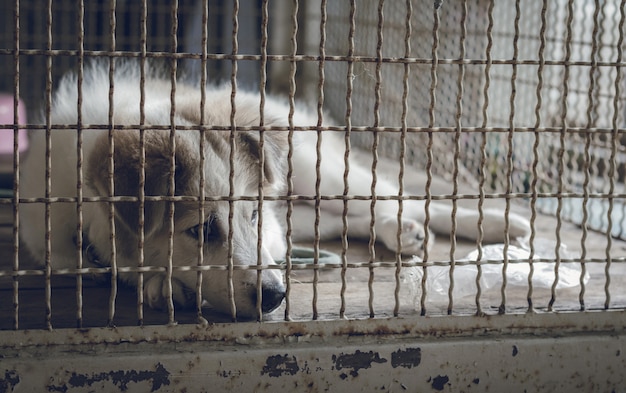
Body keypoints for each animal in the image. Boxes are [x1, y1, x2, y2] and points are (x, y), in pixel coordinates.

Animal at [18, 62, 528, 318]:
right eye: (200, 230)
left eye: (252, 216)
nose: (275, 298)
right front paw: (159, 284)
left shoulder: (272, 232)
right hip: (307, 210)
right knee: (352, 219)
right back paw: (401, 231)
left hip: (318, 172)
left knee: (393, 195)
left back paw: (491, 223)